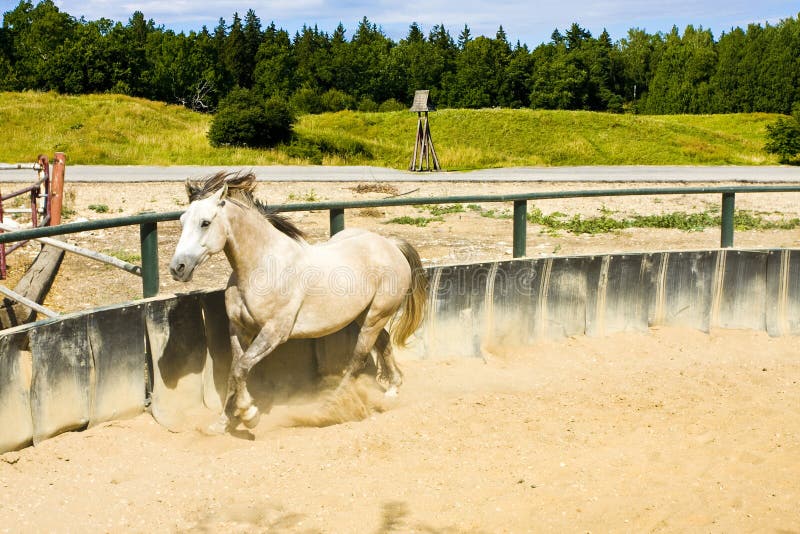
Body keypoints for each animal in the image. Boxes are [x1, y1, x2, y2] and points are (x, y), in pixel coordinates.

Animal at [167, 173, 424, 436]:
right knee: (384, 343)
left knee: (358, 359)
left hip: (375, 317)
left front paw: (250, 416)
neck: (262, 266)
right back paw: (392, 389)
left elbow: (241, 369)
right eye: (182, 220)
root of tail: (390, 245)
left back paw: (328, 408)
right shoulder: (239, 329)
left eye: (205, 222)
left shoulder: (273, 333)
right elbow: (234, 373)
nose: (178, 268)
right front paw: (222, 422)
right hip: (365, 315)